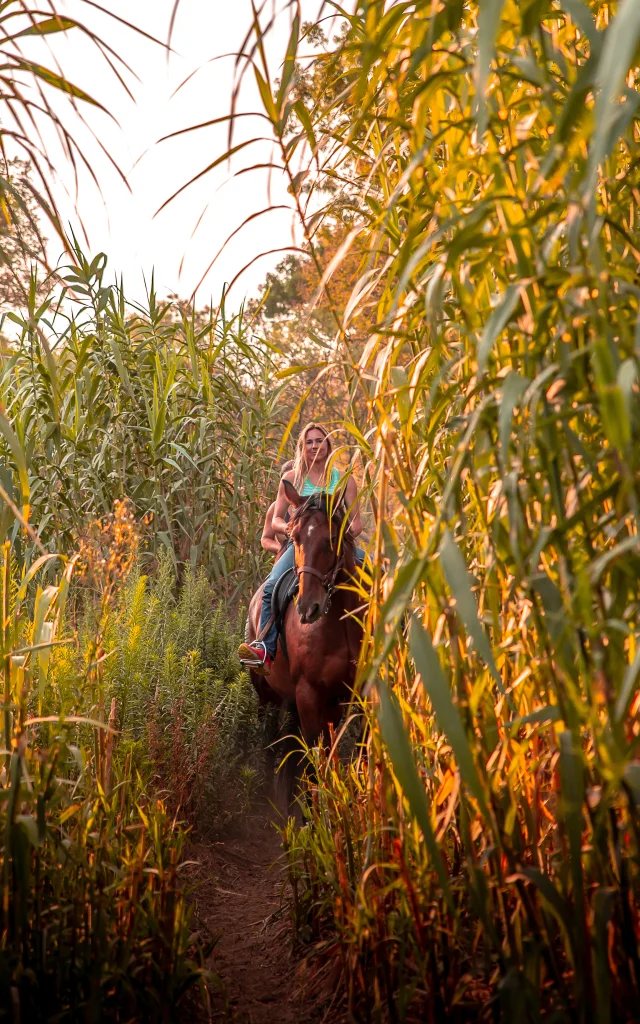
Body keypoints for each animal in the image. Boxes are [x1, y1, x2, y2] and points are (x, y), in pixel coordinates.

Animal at [245, 483, 364, 802]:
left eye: (332, 538)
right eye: (294, 537)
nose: (308, 608)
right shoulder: (308, 694)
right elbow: (314, 766)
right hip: (266, 695)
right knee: (270, 743)